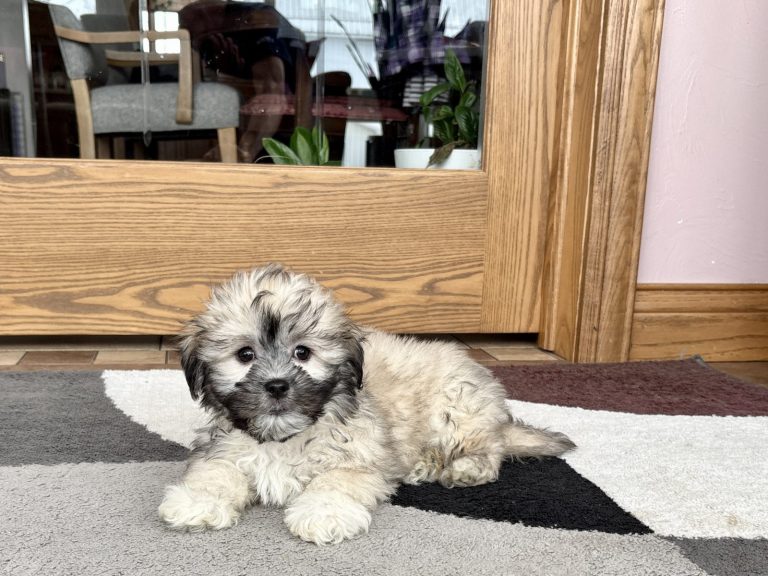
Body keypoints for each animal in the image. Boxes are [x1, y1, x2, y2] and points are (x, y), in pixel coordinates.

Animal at [158, 264, 575, 544]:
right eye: (245, 355)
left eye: (303, 353)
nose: (276, 385)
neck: (284, 438)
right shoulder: (224, 449)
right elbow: (215, 472)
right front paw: (197, 501)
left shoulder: (356, 458)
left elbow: (335, 482)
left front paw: (322, 513)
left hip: (458, 408)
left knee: (489, 450)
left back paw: (463, 469)